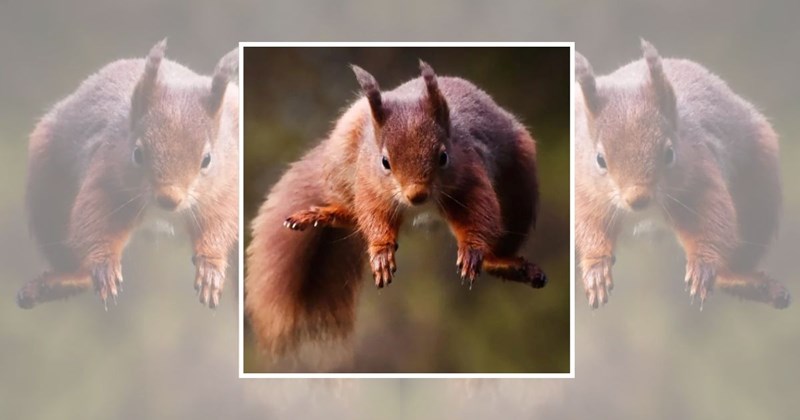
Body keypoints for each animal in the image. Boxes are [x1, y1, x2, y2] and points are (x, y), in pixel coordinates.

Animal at [17, 39, 239, 310]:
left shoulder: (226, 184)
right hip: (48, 188)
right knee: (76, 267)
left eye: (207, 160)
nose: (169, 199)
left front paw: (211, 266)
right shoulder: (106, 178)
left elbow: (220, 223)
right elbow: (94, 222)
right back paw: (64, 281)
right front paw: (105, 265)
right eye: (137, 154)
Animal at [245, 61, 547, 356]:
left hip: (519, 185)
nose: (417, 195)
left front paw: (471, 250)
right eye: (385, 162)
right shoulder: (369, 184)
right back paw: (322, 214)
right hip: (342, 163)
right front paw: (381, 252)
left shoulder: (471, 178)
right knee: (353, 215)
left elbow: (479, 215)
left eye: (443, 156)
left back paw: (505, 263)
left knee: (497, 249)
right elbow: (372, 215)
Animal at [575, 39, 790, 309]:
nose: (638, 199)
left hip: (758, 193)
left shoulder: (700, 179)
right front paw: (596, 268)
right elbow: (589, 226)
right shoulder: (585, 189)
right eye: (600, 160)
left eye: (669, 153)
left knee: (731, 265)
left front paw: (702, 266)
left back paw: (742, 281)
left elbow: (712, 223)